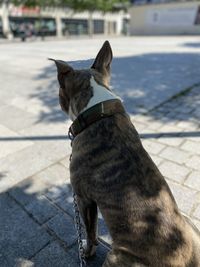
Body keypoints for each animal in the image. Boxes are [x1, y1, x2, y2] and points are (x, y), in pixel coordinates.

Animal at [51, 40, 200, 266]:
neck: (96, 111)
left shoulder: (84, 198)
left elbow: (91, 232)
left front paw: (87, 252)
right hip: (191, 225)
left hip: (117, 256)